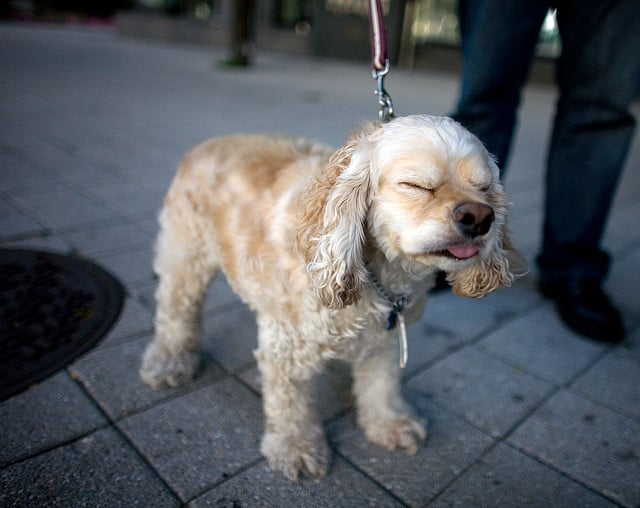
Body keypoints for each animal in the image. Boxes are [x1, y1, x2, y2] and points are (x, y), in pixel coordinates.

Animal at [138, 114, 524, 480]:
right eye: (416, 185)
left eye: (483, 188)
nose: (479, 217)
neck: (381, 277)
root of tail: (207, 144)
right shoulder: (286, 345)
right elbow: (290, 403)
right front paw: (297, 448)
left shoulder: (384, 340)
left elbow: (381, 383)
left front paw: (389, 424)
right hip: (185, 254)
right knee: (176, 310)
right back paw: (170, 362)